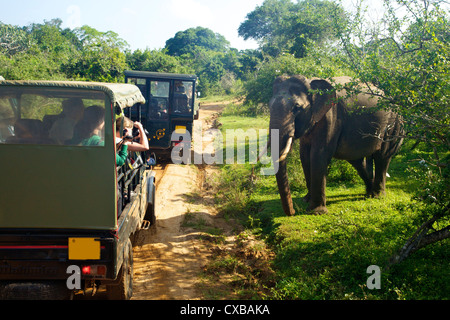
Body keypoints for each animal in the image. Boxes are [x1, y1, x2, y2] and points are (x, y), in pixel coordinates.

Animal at [268, 75, 404, 216]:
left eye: (297, 107)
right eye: (269, 106)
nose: (293, 211)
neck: (311, 82)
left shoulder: (330, 117)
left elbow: (318, 154)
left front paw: (316, 212)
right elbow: (304, 156)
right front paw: (306, 200)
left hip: (393, 125)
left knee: (382, 156)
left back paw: (377, 196)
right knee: (357, 162)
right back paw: (368, 193)